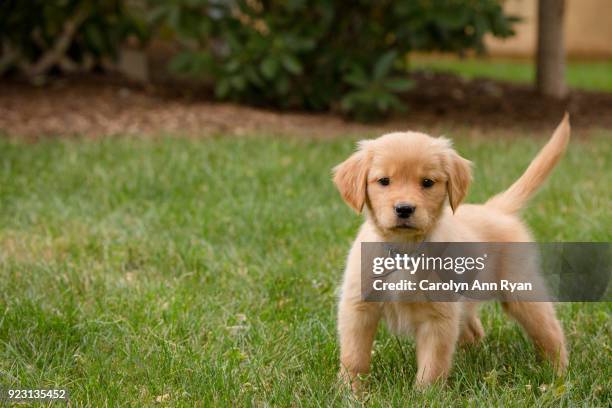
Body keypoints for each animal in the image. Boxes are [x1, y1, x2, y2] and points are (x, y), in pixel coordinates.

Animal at [332, 115, 572, 392]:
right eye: (384, 181)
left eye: (427, 182)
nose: (404, 209)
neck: (405, 251)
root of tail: (496, 209)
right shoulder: (358, 308)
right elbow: (354, 357)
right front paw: (351, 391)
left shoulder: (439, 316)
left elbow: (432, 364)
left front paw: (424, 395)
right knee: (475, 332)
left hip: (521, 290)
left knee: (550, 331)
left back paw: (557, 374)